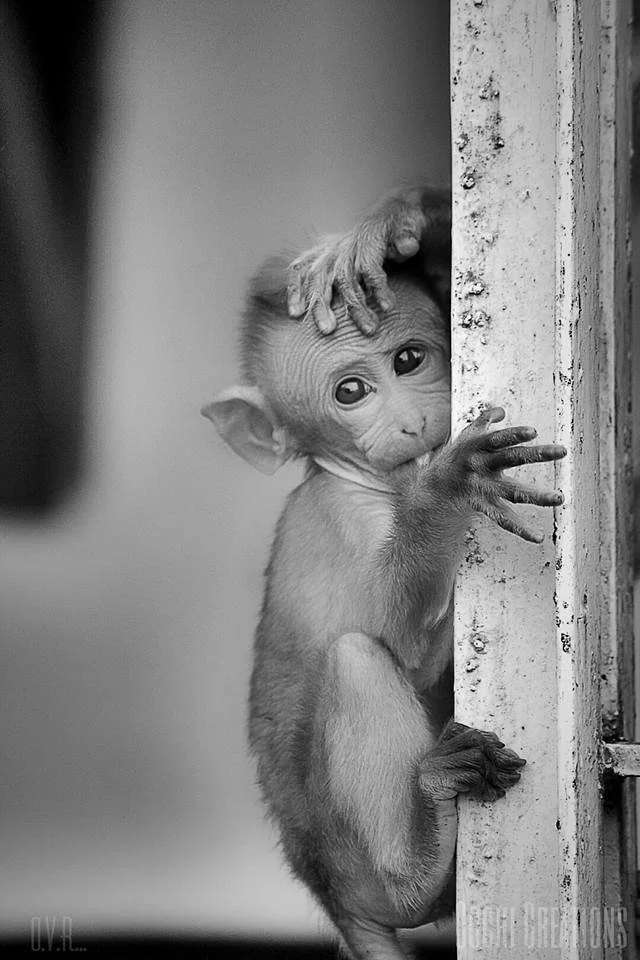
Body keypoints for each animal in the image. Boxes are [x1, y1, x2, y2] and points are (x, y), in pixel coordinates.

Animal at [202, 189, 566, 960]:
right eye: (350, 391)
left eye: (409, 359)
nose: (410, 422)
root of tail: (333, 901)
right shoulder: (355, 518)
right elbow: (407, 651)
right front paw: (448, 487)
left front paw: (395, 227)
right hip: (351, 864)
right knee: (356, 658)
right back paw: (423, 848)